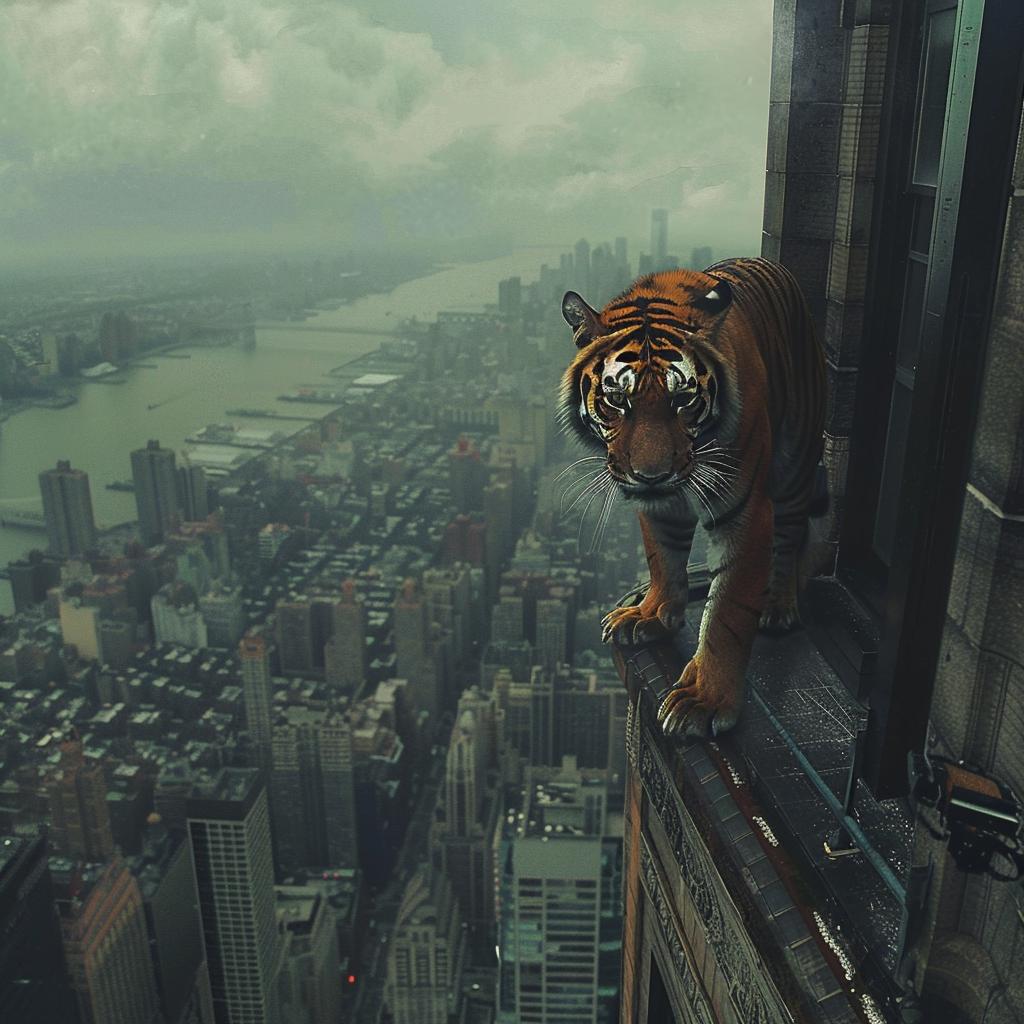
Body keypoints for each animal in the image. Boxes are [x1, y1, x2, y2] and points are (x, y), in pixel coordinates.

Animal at [559, 257, 826, 740]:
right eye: (616, 398)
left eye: (682, 398)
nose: (652, 475)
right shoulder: (659, 507)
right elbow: (662, 558)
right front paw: (652, 615)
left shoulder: (747, 514)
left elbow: (726, 613)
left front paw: (705, 700)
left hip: (796, 461)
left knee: (789, 538)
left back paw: (778, 606)